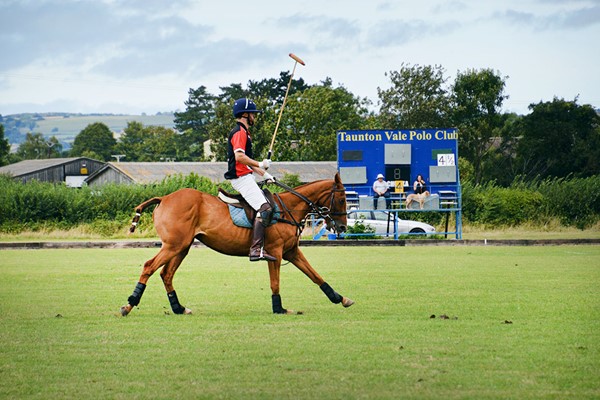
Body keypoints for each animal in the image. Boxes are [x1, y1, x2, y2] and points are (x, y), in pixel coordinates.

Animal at [122, 172, 354, 316]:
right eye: (342, 199)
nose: (342, 227)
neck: (289, 208)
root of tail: (164, 198)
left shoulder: (292, 252)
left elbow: (315, 275)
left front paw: (341, 298)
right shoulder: (275, 252)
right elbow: (275, 282)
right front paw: (278, 308)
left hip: (182, 247)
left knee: (166, 274)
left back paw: (179, 308)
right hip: (173, 245)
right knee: (149, 267)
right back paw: (129, 305)